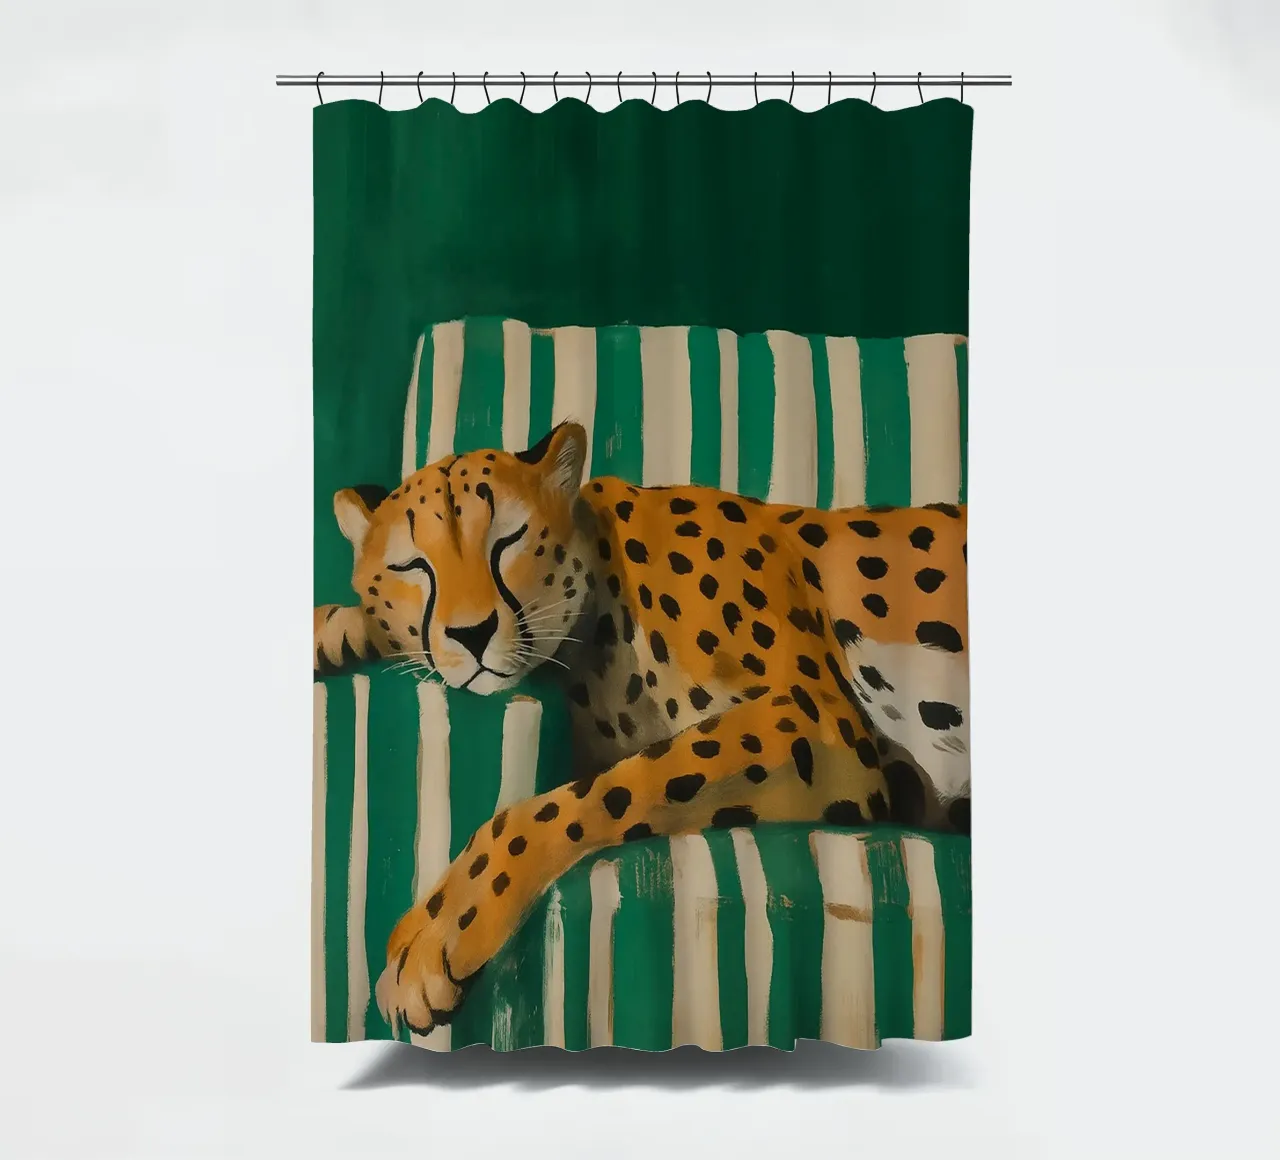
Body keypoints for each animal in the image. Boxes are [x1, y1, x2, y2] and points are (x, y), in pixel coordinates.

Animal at [313, 420, 969, 1037]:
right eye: (411, 567)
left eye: (508, 541)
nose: (471, 635)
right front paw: (338, 626)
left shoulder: (819, 726)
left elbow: (600, 794)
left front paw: (436, 933)